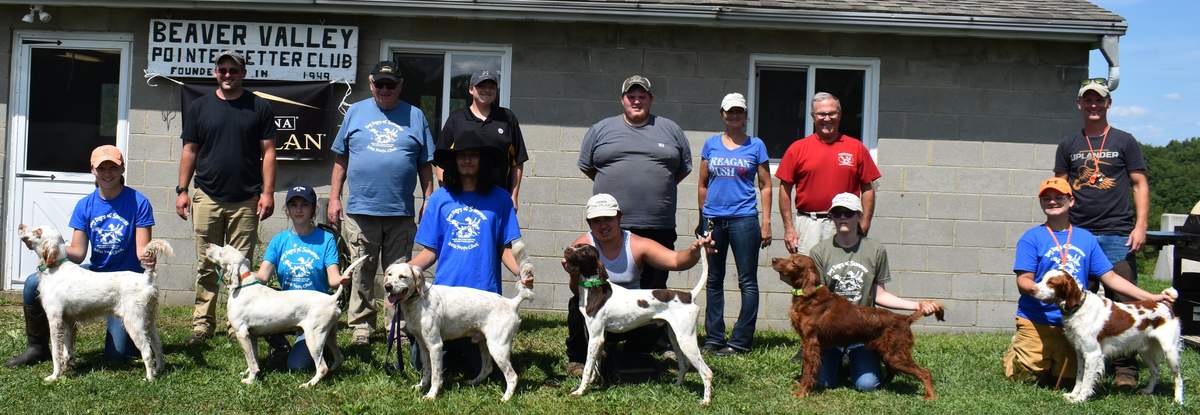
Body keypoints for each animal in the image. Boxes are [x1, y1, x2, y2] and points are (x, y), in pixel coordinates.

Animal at [17, 224, 174, 381]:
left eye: (38, 231)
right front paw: (67, 369)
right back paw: (158, 370)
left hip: (134, 322)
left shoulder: (55, 320)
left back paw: (149, 378)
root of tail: (146, 278)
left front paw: (54, 376)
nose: (21, 226)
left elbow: (56, 353)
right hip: (148, 321)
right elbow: (67, 350)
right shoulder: (67, 321)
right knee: (157, 346)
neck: (56, 268)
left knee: (147, 351)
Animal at [381, 239, 537, 403]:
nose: (387, 286)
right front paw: (421, 386)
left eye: (403, 276)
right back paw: (473, 382)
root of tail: (511, 302)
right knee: (487, 368)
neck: (419, 300)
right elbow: (427, 371)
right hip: (484, 344)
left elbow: (436, 375)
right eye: (389, 275)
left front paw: (432, 394)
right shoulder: (423, 344)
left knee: (512, 376)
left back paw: (505, 398)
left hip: (498, 347)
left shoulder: (435, 345)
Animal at [772, 253, 940, 398]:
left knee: (925, 372)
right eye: (789, 256)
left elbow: (808, 370)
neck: (808, 296)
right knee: (893, 372)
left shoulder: (810, 342)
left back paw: (930, 396)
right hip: (887, 352)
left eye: (794, 262)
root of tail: (904, 318)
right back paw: (882, 388)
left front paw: (801, 392)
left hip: (895, 354)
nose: (773, 259)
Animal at [1036, 268, 1185, 405]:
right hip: (1145, 351)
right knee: (1155, 371)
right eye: (1042, 279)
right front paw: (1073, 395)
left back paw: (1178, 401)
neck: (1079, 307)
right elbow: (1079, 377)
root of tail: (1165, 304)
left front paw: (1080, 399)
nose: (1033, 289)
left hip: (1170, 351)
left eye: (1051, 283)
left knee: (1178, 377)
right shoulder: (1080, 352)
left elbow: (1086, 380)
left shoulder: (1093, 353)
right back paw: (1147, 391)